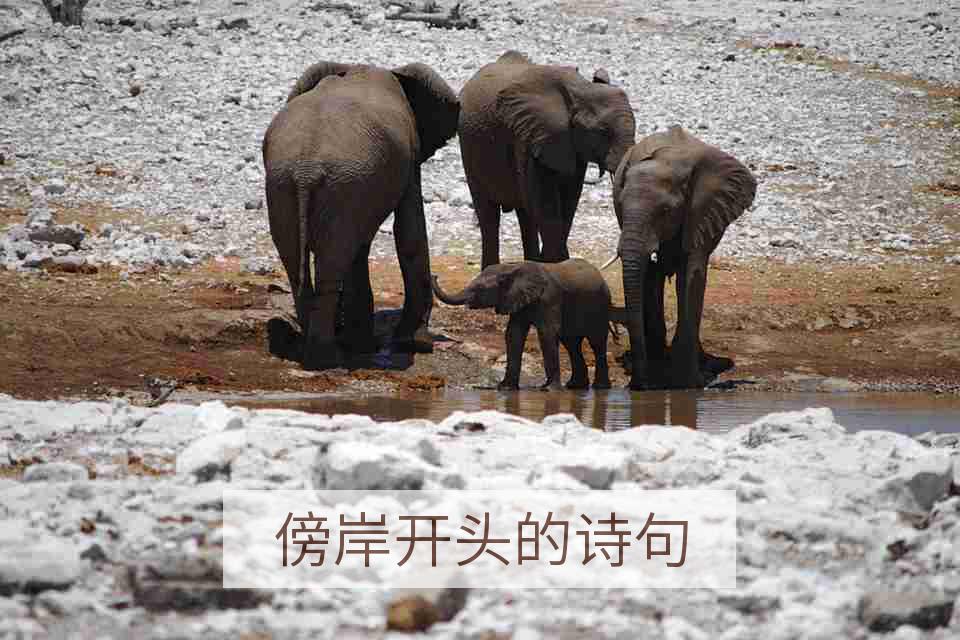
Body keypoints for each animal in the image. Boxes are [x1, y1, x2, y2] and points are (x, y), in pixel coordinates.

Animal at [262, 61, 460, 370]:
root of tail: (306, 171)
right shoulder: (409, 152)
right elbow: (410, 228)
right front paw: (415, 343)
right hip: (331, 183)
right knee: (333, 259)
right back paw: (326, 358)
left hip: (291, 185)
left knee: (301, 261)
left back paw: (314, 349)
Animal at [431, 258, 612, 390]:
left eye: (480, 288)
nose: (435, 275)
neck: (511, 268)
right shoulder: (517, 298)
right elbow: (514, 334)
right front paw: (505, 388)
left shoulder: (549, 298)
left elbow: (547, 333)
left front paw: (549, 390)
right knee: (571, 344)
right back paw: (575, 386)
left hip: (601, 304)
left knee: (596, 342)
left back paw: (600, 387)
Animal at [458, 50, 636, 269]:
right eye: (602, 131)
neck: (580, 89)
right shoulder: (529, 136)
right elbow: (545, 203)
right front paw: (556, 264)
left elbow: (569, 200)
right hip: (469, 148)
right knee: (489, 214)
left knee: (524, 213)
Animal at [611, 125, 757, 390]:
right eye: (620, 205)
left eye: (666, 211)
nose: (637, 386)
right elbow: (650, 273)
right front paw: (660, 376)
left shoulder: (701, 211)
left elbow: (691, 274)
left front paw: (689, 383)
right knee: (653, 275)